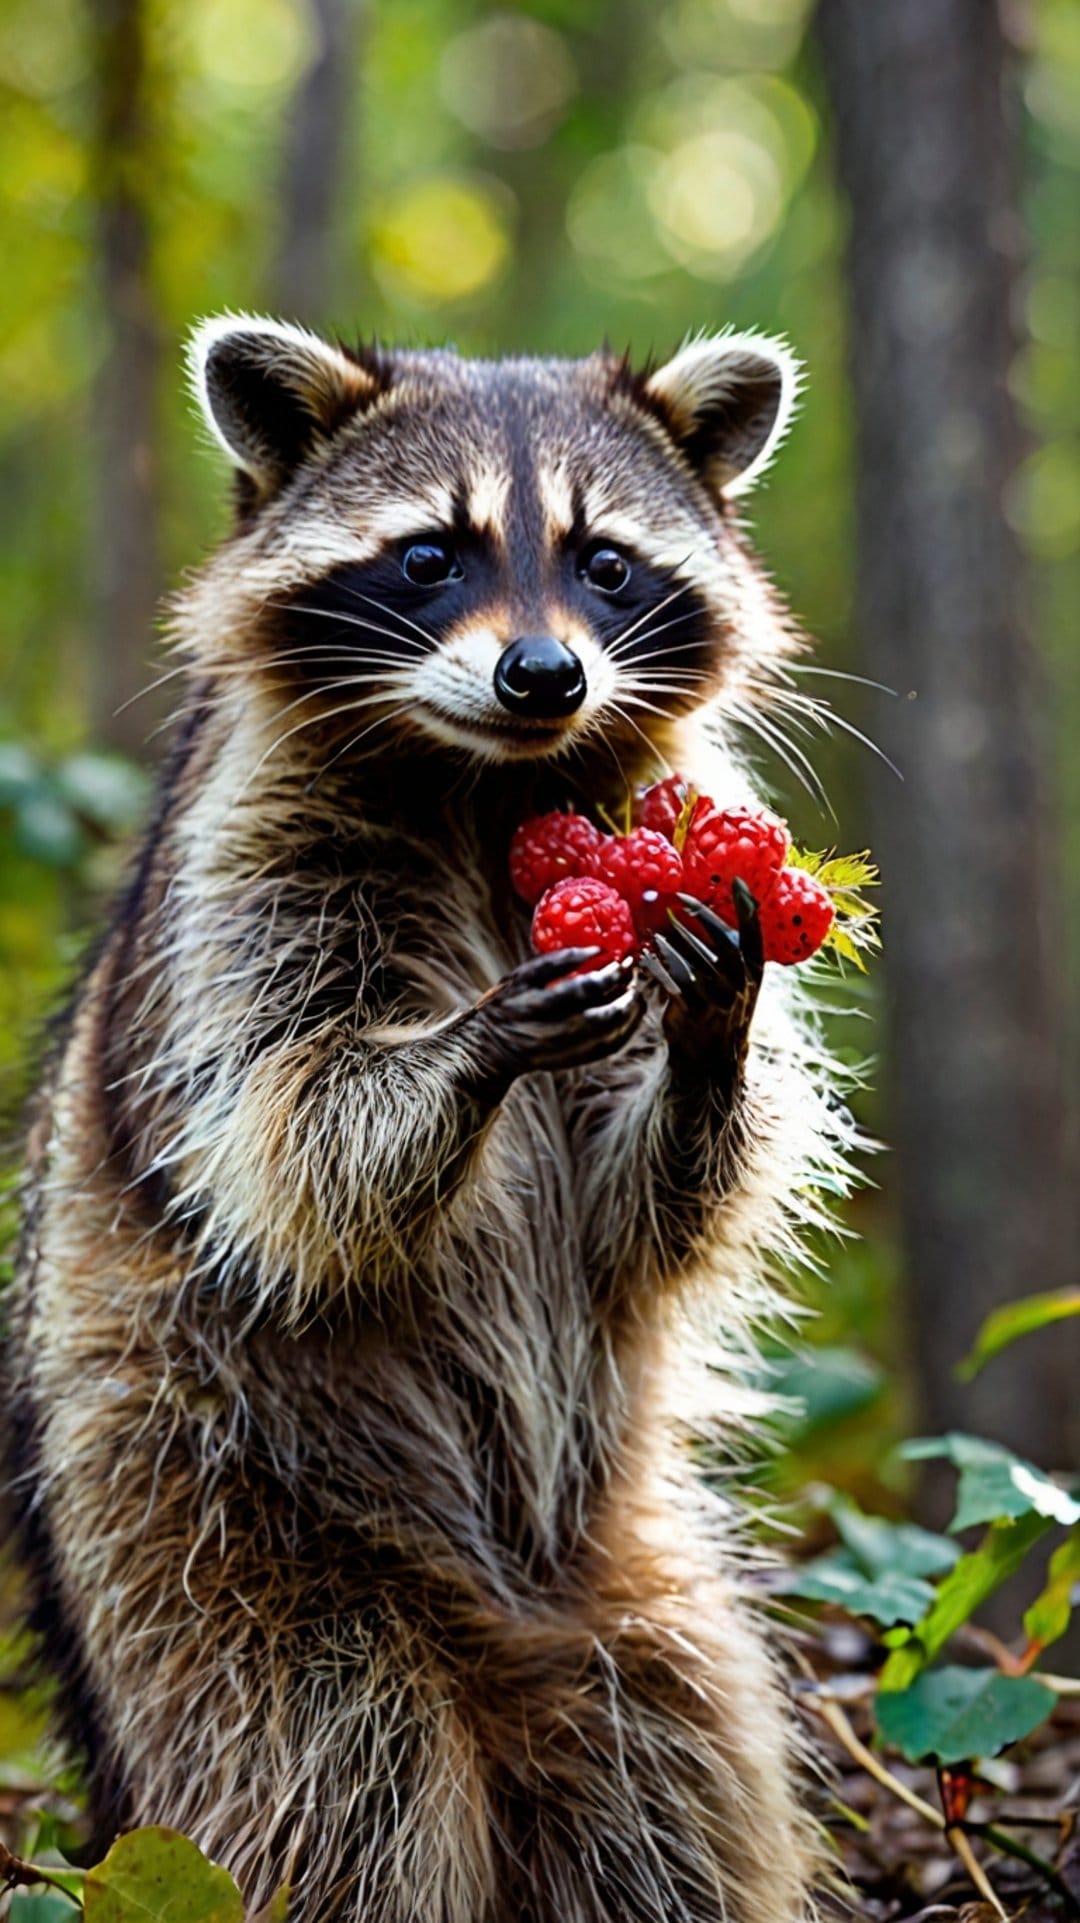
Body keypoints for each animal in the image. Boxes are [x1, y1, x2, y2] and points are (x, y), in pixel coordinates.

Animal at [6, 318, 854, 1922]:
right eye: (427, 557)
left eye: (603, 563)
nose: (544, 675)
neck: (488, 786)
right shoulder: (241, 878)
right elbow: (286, 1141)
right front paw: (466, 1048)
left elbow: (646, 1217)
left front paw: (710, 1036)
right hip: (203, 1532)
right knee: (331, 1790)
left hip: (628, 1599)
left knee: (681, 1793)